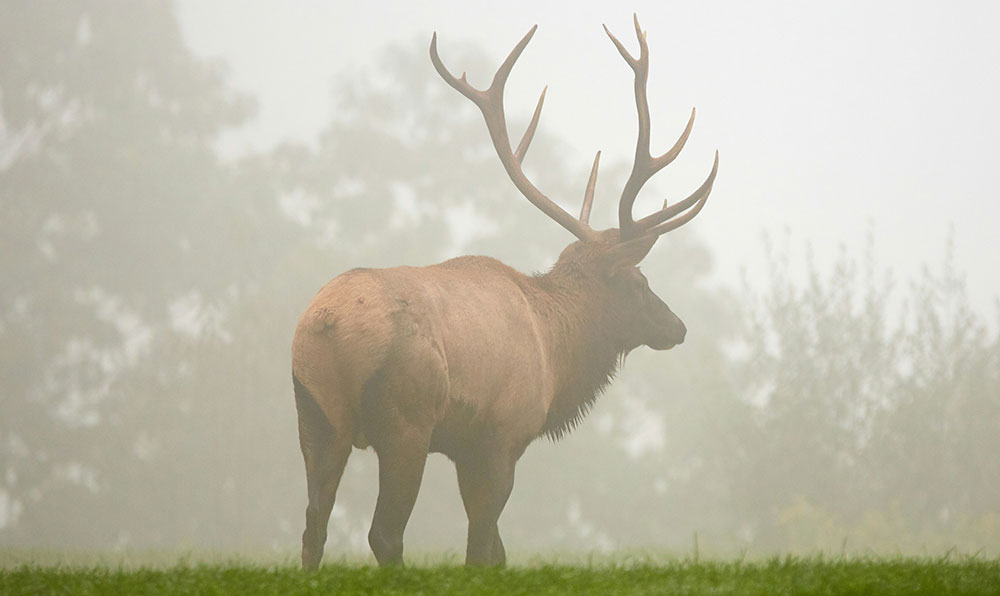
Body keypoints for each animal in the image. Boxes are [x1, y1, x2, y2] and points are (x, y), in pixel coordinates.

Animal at [292, 14, 718, 568]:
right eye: (638, 280)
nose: (678, 326)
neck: (556, 351)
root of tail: (326, 325)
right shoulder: (501, 435)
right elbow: (482, 547)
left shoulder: (466, 446)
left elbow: (496, 551)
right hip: (404, 419)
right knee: (383, 533)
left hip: (315, 416)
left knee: (313, 527)